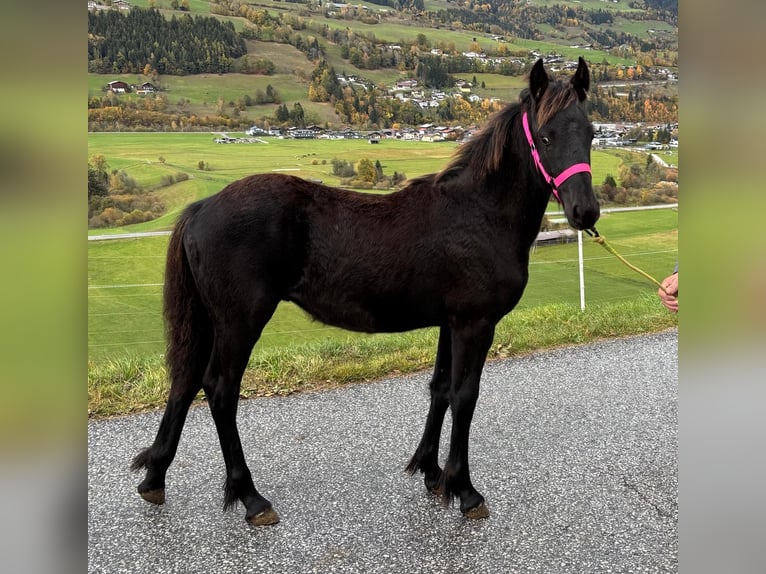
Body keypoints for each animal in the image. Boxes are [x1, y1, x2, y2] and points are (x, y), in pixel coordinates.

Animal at [132, 57, 600, 526]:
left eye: (591, 133)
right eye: (546, 136)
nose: (586, 212)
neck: (479, 213)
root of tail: (202, 208)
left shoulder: (449, 323)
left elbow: (440, 390)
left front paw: (431, 472)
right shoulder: (474, 324)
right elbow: (464, 397)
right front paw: (463, 489)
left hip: (211, 320)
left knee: (185, 381)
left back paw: (155, 478)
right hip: (240, 322)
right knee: (220, 390)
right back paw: (250, 497)